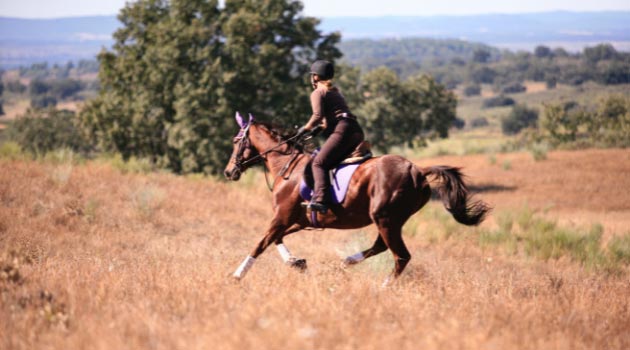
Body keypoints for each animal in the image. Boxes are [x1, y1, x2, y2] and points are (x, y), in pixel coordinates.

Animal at [225, 113, 492, 284]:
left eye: (237, 141)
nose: (229, 172)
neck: (286, 165)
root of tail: (417, 170)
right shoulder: (296, 220)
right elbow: (276, 239)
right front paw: (296, 261)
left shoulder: (281, 217)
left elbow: (261, 243)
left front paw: (237, 275)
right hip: (391, 220)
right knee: (381, 247)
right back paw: (346, 262)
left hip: (385, 218)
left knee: (401, 256)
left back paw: (383, 286)